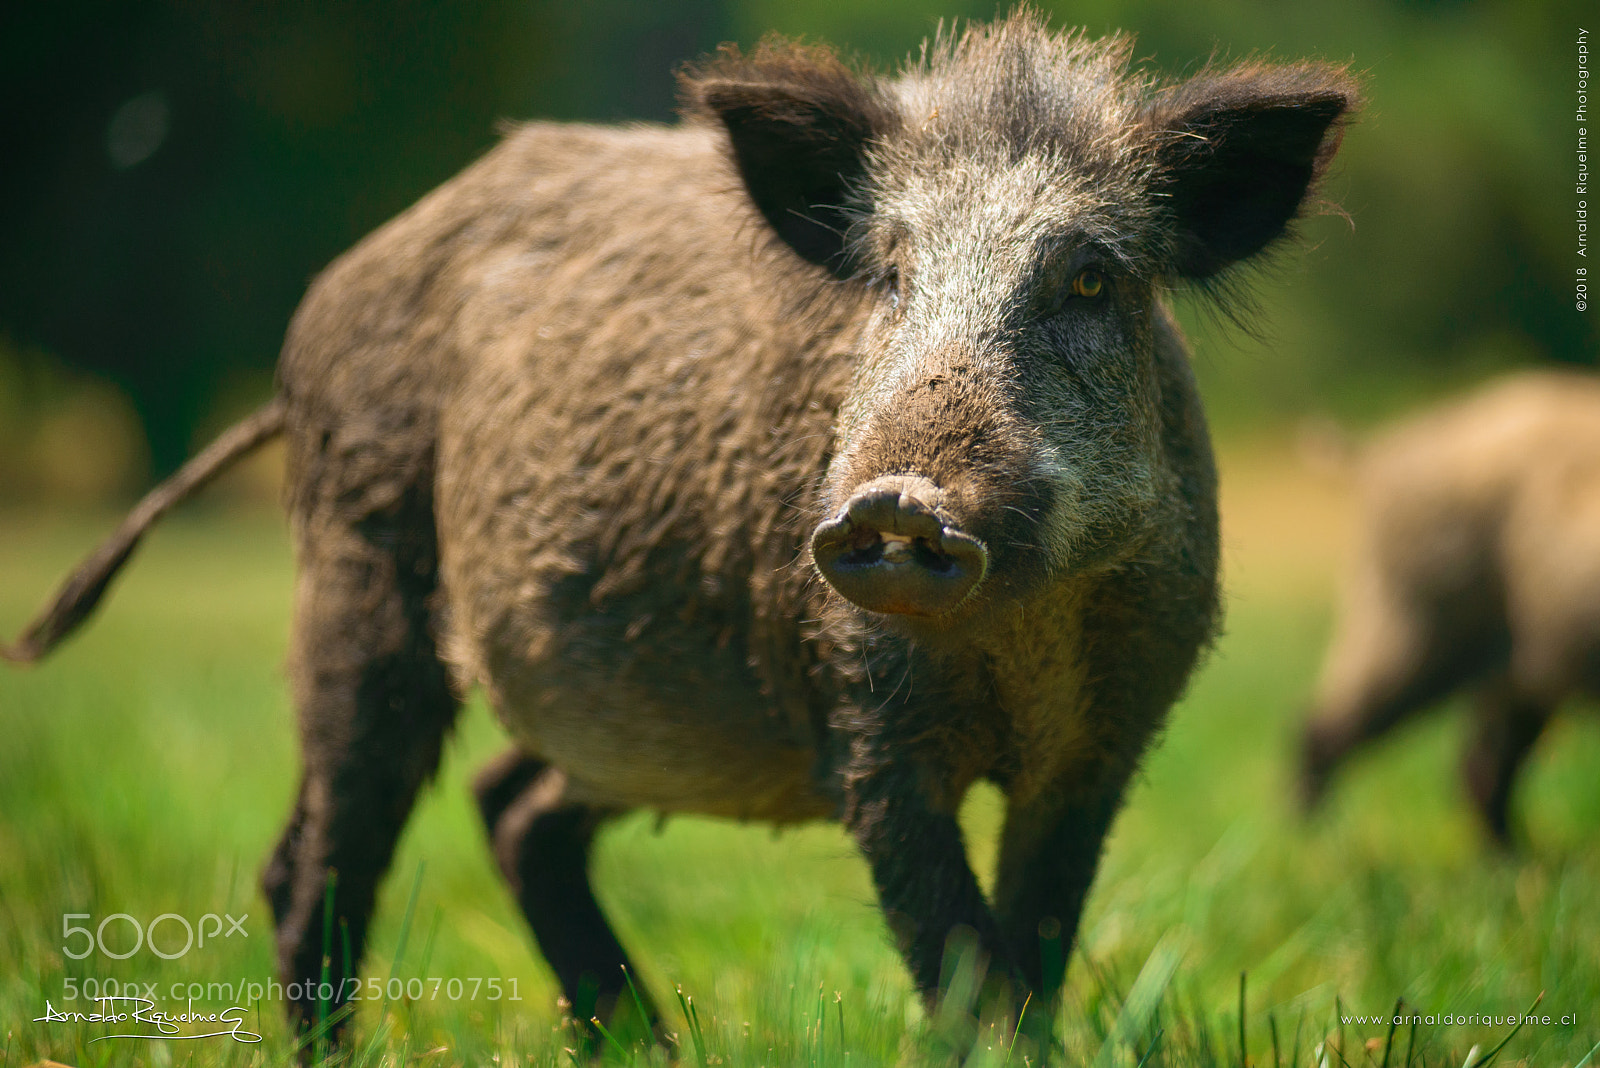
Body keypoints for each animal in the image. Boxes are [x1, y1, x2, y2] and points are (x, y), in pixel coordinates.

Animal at [6, 9, 1357, 1042]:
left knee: (509, 810)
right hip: (358, 564)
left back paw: (646, 1042)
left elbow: (1029, 951)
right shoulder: (861, 724)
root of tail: (322, 312)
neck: (1017, 649)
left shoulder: (1105, 745)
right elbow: (963, 967)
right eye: (892, 274)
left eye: (1089, 278)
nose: (897, 504)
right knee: (316, 863)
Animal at [1301, 371, 1600, 847]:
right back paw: (1322, 841)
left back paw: (1511, 858)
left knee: (1482, 765)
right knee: (1324, 726)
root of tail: (1375, 457)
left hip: (1509, 667)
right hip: (1416, 619)